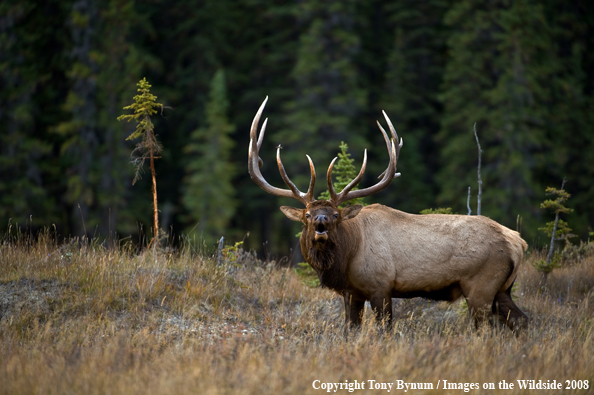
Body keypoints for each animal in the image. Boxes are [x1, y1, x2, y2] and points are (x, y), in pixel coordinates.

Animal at [247, 97, 524, 332]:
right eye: (306, 214)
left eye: (335, 214)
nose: (320, 222)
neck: (348, 256)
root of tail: (518, 242)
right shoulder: (352, 292)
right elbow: (351, 329)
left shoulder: (380, 286)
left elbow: (384, 331)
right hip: (502, 289)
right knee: (521, 320)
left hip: (481, 286)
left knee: (486, 329)